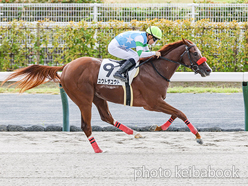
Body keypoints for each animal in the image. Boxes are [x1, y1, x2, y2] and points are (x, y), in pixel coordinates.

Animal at [1, 38, 211, 153]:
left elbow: (176, 113)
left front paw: (160, 127)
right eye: (194, 52)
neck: (155, 69)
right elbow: (181, 113)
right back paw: (98, 149)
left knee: (106, 117)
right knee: (87, 126)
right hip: (83, 99)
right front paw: (198, 137)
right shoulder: (152, 103)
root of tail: (67, 65)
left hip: (98, 96)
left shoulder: (157, 102)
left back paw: (134, 133)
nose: (208, 70)